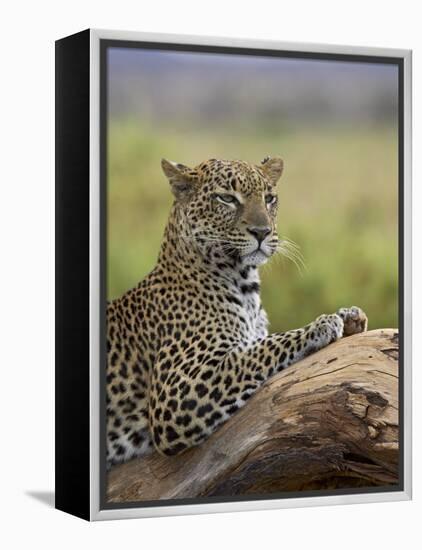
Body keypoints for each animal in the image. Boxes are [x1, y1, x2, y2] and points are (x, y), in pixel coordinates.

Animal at [107, 156, 368, 470]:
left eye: (269, 198)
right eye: (227, 199)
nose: (262, 232)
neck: (245, 284)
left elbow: (258, 344)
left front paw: (350, 316)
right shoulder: (177, 391)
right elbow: (261, 349)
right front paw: (322, 324)